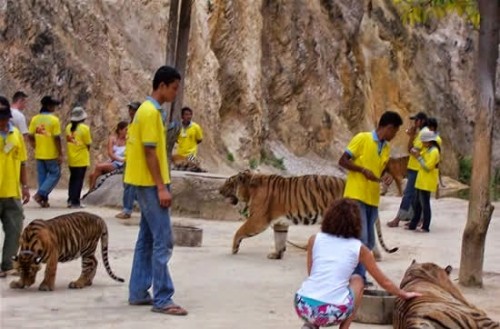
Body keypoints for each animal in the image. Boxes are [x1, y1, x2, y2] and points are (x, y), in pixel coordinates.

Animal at [219, 169, 398, 258]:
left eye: (228, 183)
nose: (218, 190)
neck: (250, 189)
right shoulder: (280, 223)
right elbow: (280, 239)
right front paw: (277, 254)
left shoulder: (258, 219)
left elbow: (239, 231)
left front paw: (234, 248)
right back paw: (376, 256)